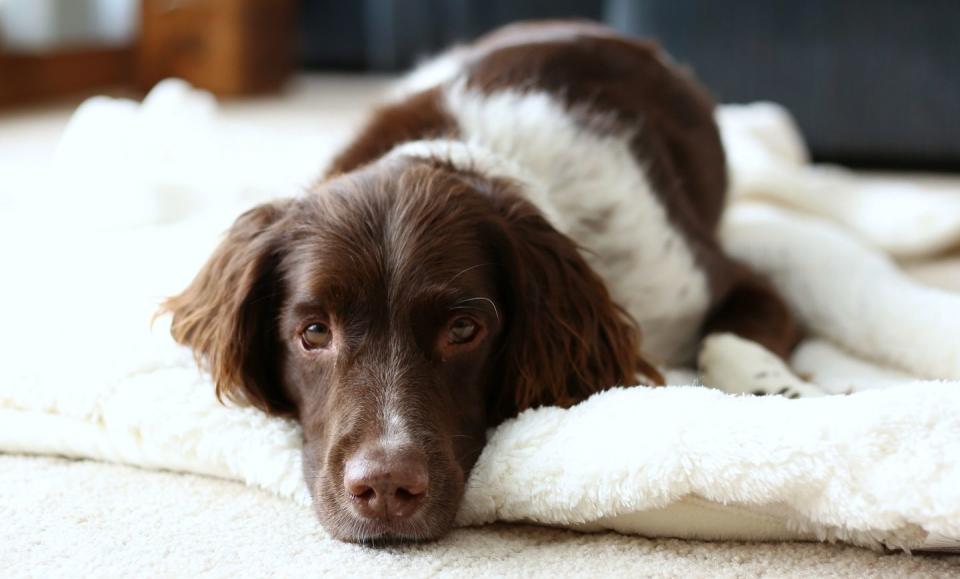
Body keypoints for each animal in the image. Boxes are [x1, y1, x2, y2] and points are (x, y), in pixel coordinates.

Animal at [161, 21, 820, 544]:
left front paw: (778, 394)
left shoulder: (732, 282)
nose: (385, 488)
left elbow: (732, 339)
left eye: (463, 329)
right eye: (314, 332)